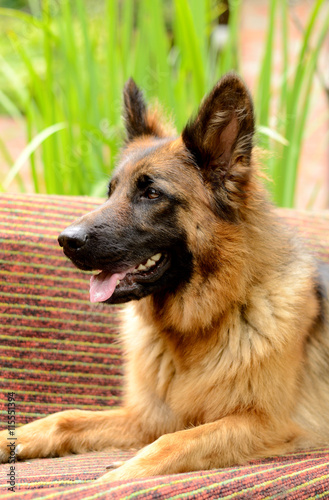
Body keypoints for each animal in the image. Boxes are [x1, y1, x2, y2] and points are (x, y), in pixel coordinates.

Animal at [0, 73, 328, 480]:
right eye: (110, 192)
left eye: (152, 193)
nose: (65, 240)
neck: (199, 325)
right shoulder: (149, 417)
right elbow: (66, 418)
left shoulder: (265, 424)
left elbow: (173, 443)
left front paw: (116, 478)